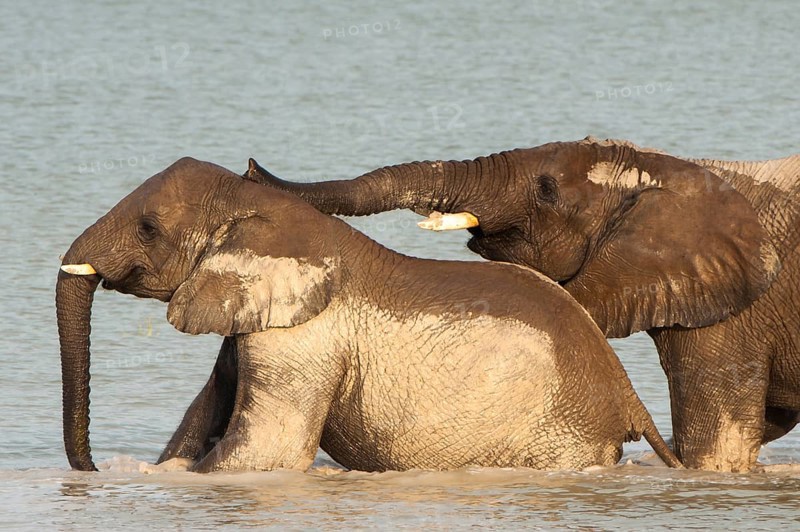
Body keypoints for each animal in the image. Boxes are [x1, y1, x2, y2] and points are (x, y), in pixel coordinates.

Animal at [56, 157, 683, 473]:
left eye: (148, 228)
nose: (91, 473)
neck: (261, 208)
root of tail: (629, 397)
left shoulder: (305, 340)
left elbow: (268, 451)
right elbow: (202, 418)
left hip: (562, 433)